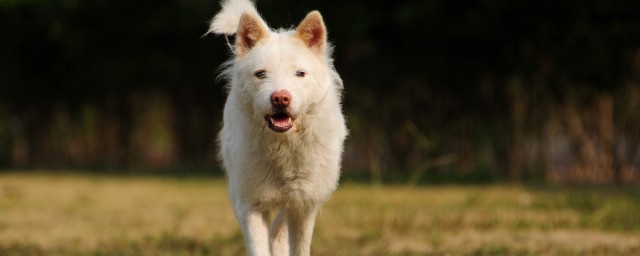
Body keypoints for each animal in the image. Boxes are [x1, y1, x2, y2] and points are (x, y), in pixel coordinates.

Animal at [209, 1, 348, 255]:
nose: (280, 98)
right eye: (261, 74)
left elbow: (300, 246)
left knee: (278, 231)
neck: (283, 145)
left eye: (300, 73)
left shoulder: (303, 205)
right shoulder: (250, 204)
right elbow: (258, 247)